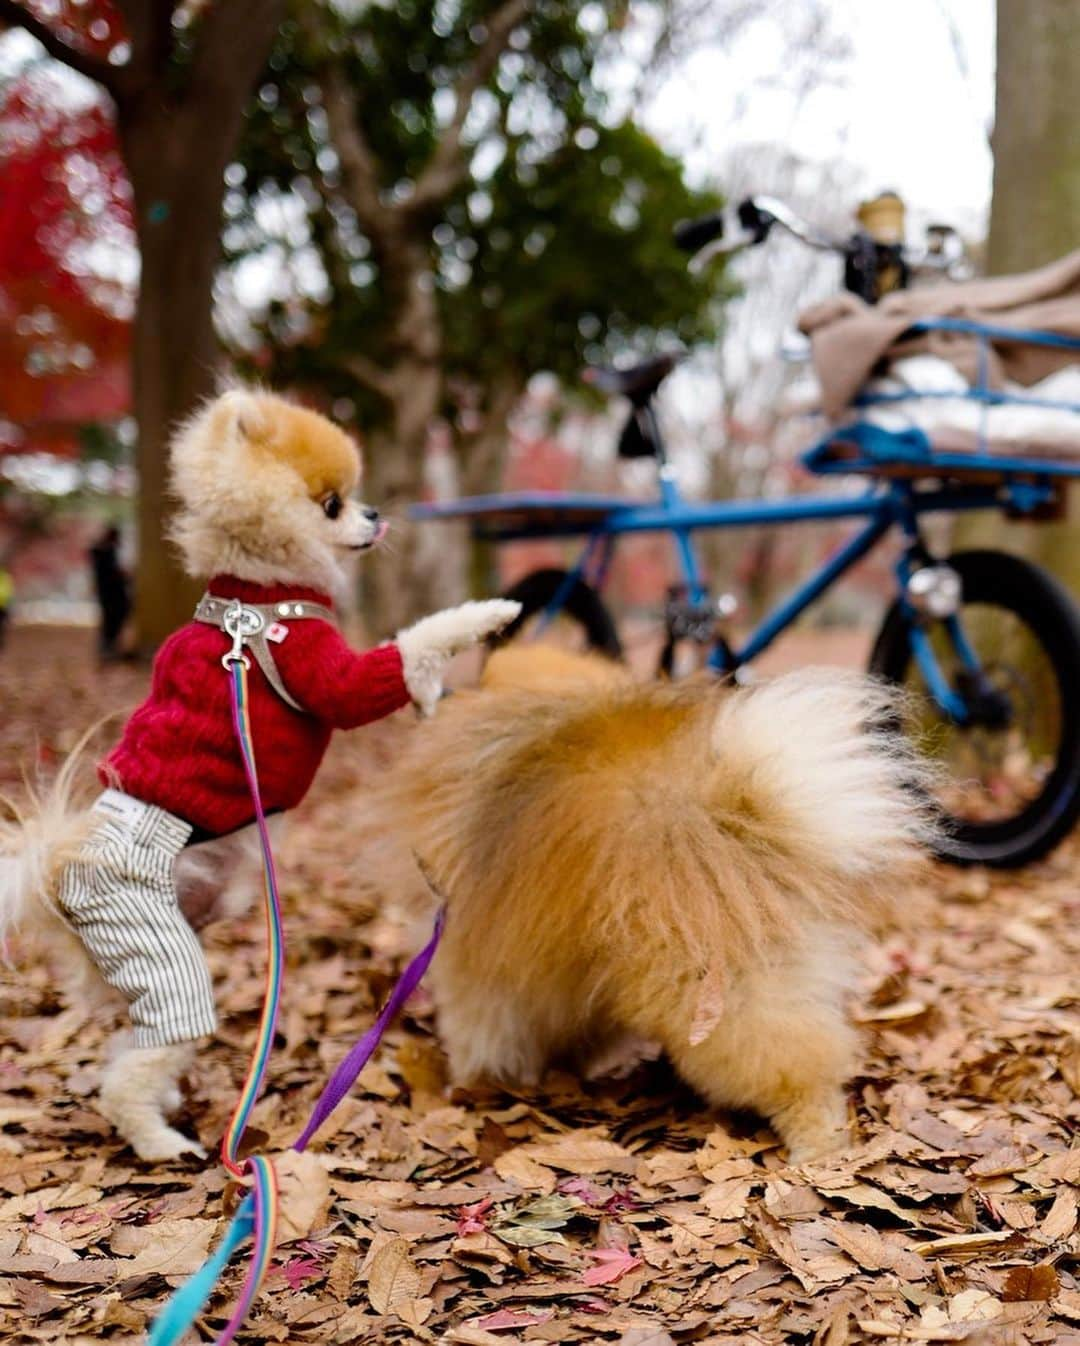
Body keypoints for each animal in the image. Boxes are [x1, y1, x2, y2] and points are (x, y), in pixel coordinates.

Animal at [0, 387, 517, 1157]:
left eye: (352, 498)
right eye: (332, 504)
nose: (374, 514)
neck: (256, 598)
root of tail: (57, 869)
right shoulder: (323, 671)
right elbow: (409, 648)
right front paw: (487, 615)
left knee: (129, 1046)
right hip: (161, 953)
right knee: (136, 1067)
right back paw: (160, 1142)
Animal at [371, 646, 926, 1162]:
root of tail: (736, 820)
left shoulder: (473, 959)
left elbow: (482, 1031)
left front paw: (472, 1082)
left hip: (719, 994)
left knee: (792, 1067)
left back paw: (817, 1147)